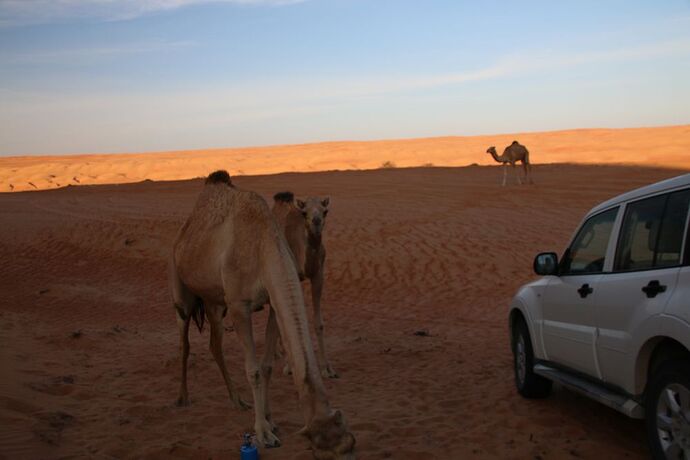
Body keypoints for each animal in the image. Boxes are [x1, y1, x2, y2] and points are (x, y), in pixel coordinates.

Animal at [274, 192, 338, 380]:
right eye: (304, 213)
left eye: (325, 211)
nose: (316, 221)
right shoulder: (292, 276)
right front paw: (289, 367)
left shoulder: (318, 274)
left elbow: (319, 323)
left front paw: (327, 368)